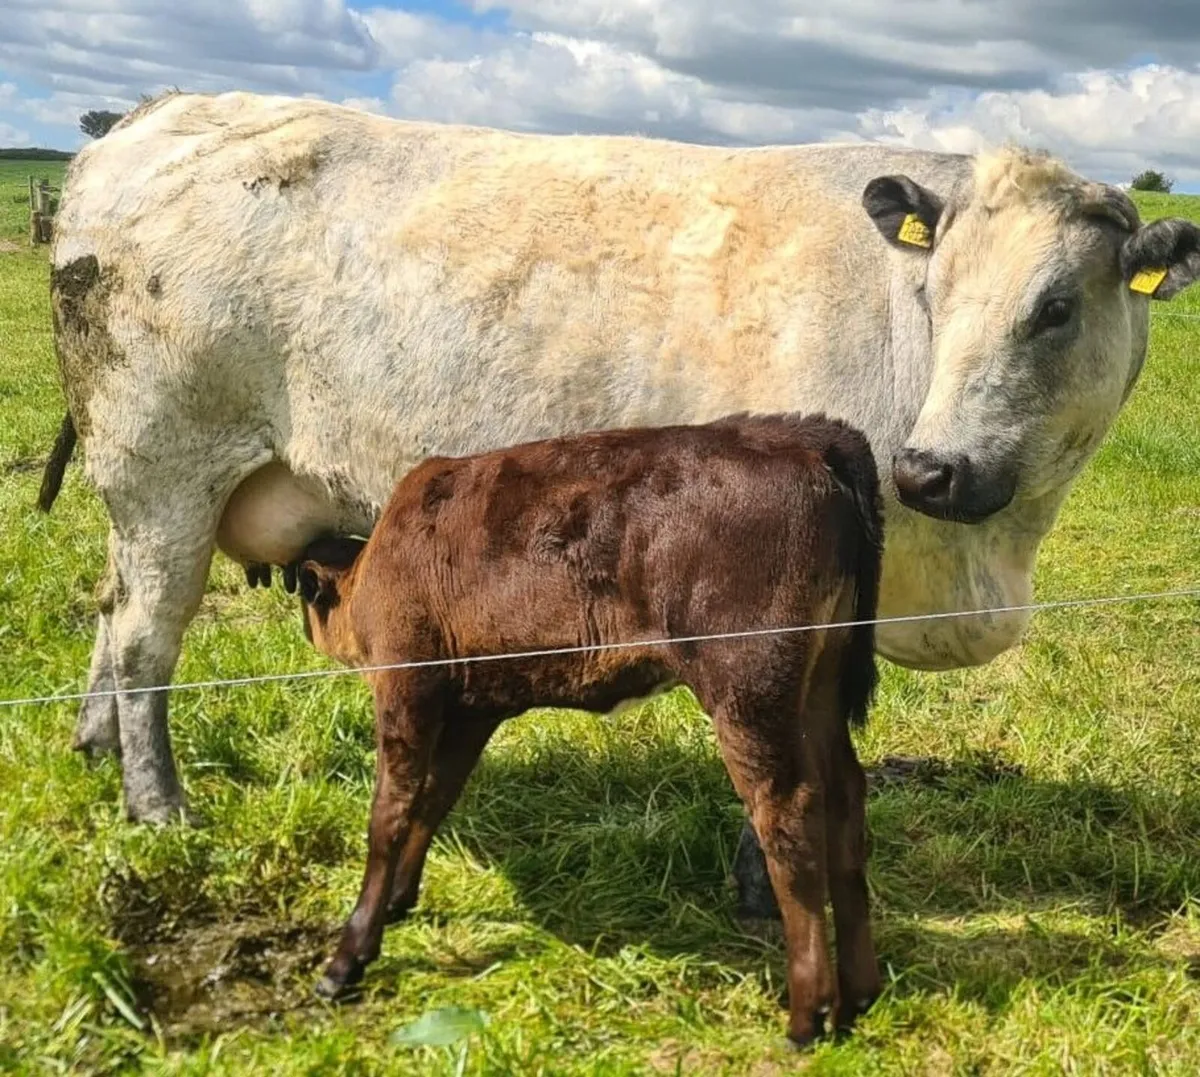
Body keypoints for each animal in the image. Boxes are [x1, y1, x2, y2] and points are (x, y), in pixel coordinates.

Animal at [37, 90, 1200, 923]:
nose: (930, 471)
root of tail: (158, 114)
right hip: (161, 459)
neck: (973, 564)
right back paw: (158, 805)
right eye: (937, 293)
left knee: (109, 609)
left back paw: (95, 750)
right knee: (145, 640)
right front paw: (770, 888)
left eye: (1056, 309)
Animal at [289, 410, 885, 1047]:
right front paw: (401, 898)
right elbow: (435, 799)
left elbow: (390, 815)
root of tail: (805, 438)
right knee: (845, 798)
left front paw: (347, 959)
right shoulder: (473, 711)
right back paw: (860, 992)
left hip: (747, 689)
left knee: (789, 815)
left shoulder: (407, 687)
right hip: (819, 685)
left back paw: (807, 1016)